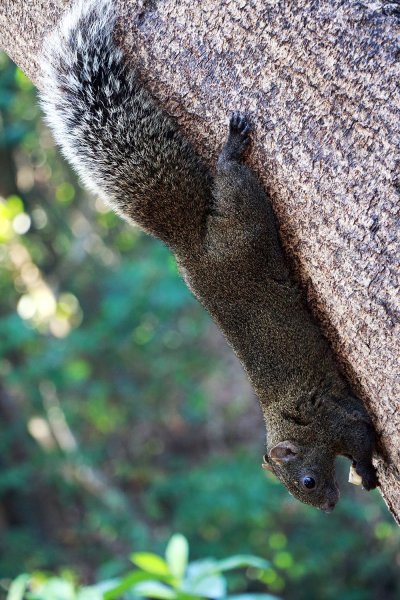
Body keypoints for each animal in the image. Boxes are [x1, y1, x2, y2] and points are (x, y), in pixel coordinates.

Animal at [38, 0, 378, 510]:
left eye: (307, 481)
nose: (330, 505)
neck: (292, 420)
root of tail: (189, 243)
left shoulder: (334, 419)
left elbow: (361, 437)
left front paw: (367, 471)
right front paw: (367, 475)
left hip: (246, 214)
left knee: (231, 174)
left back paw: (232, 149)